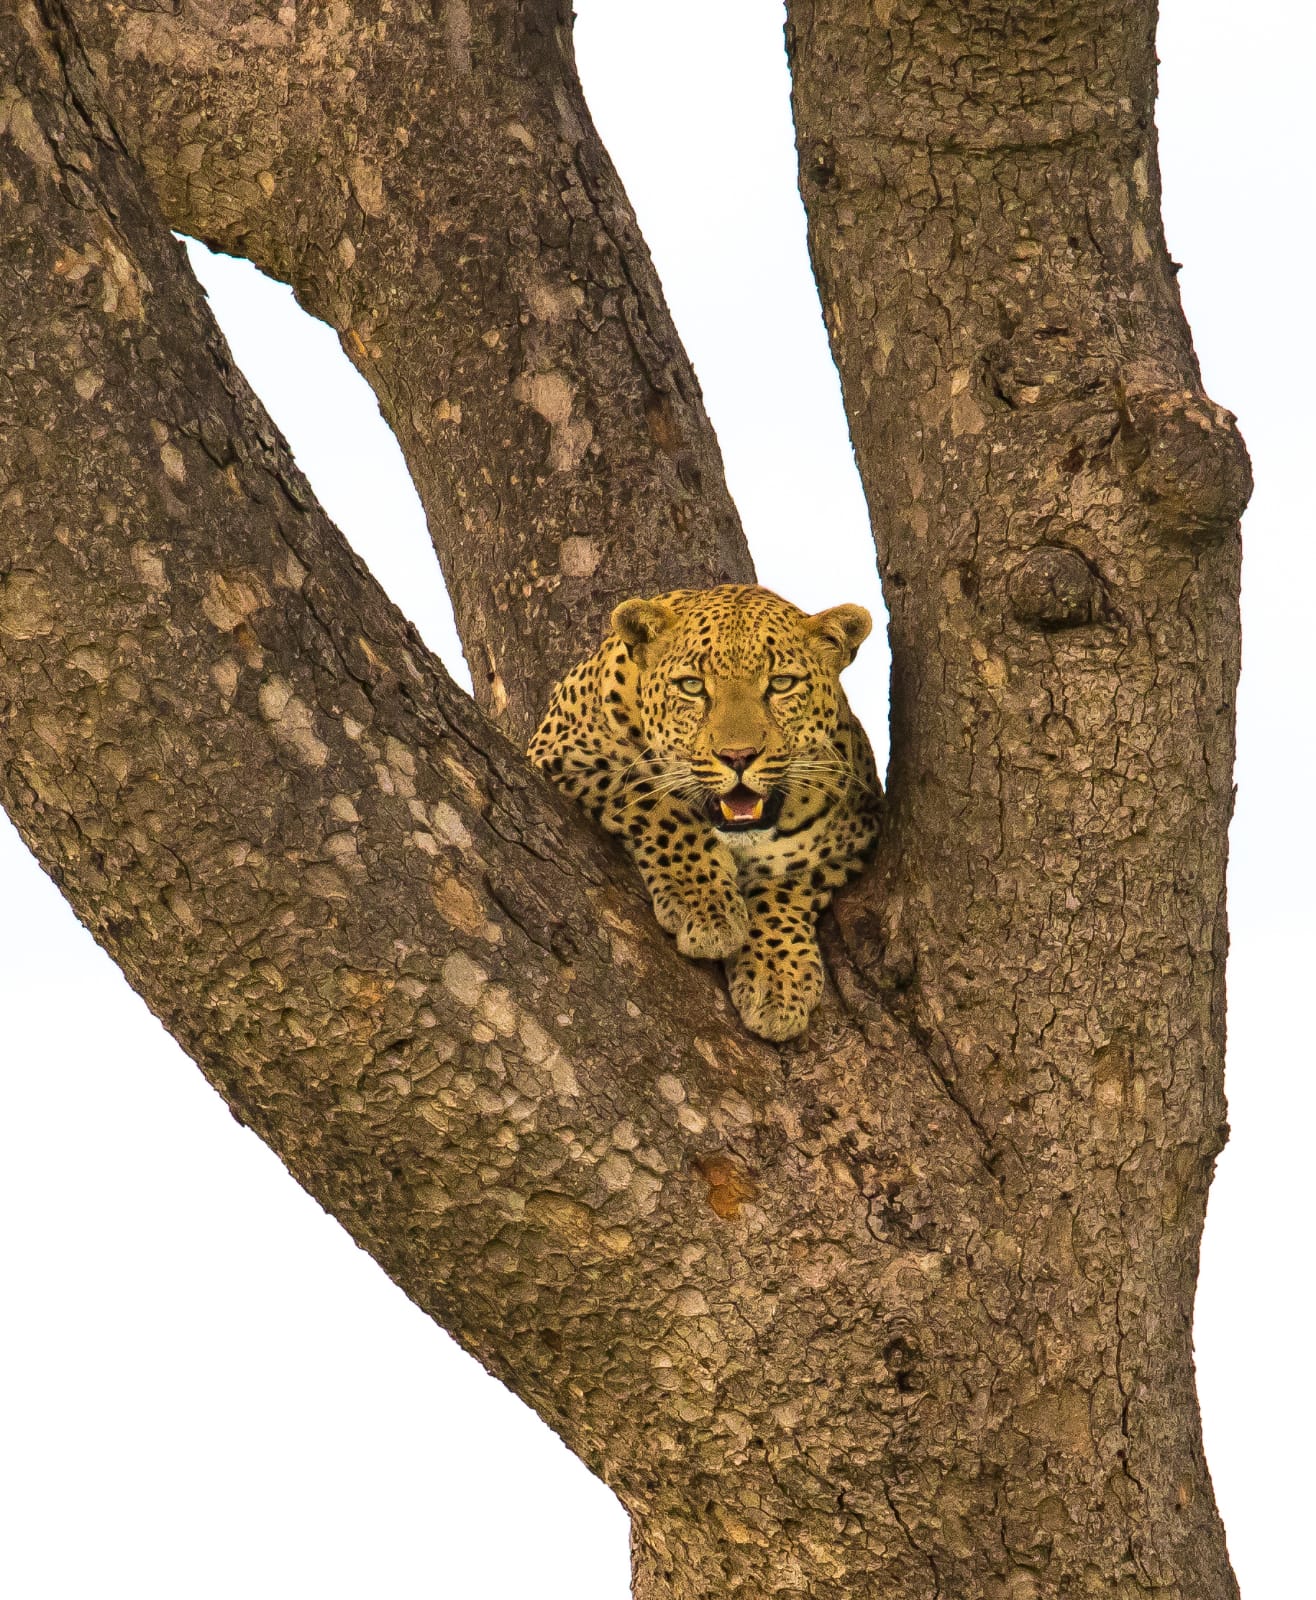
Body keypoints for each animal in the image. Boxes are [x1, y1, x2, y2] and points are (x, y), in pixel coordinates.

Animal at [527, 584, 880, 1041]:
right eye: (692, 686)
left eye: (781, 684)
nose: (738, 756)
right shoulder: (559, 756)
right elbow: (657, 801)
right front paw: (707, 910)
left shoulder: (856, 833)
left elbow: (785, 883)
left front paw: (778, 977)